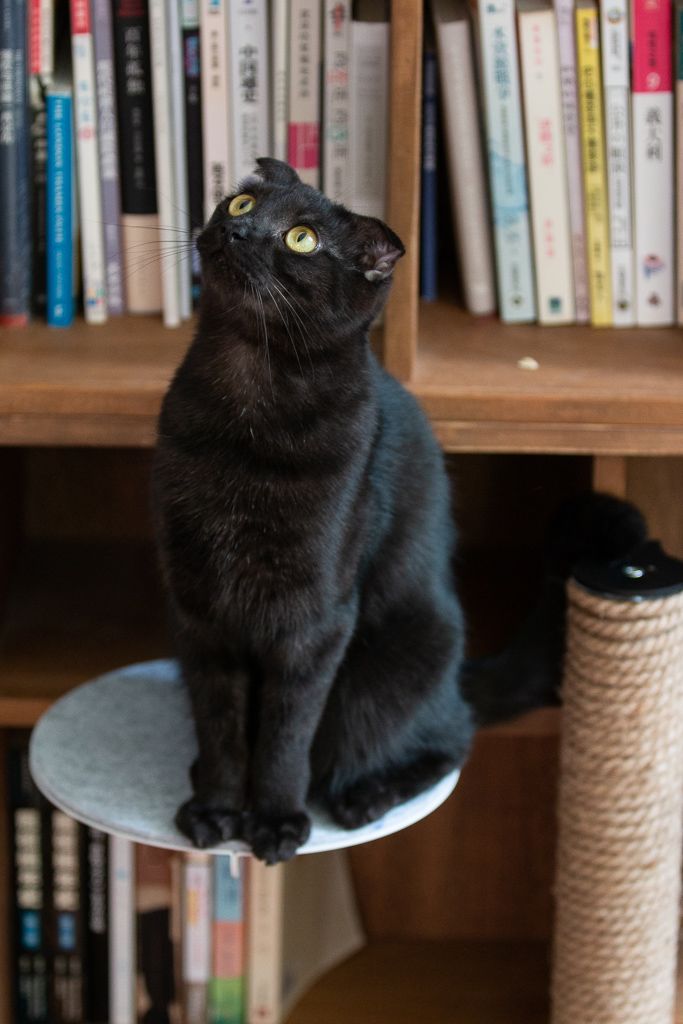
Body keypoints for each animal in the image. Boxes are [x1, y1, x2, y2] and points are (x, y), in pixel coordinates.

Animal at [152, 159, 651, 864]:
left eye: (301, 239)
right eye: (242, 202)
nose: (240, 229)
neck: (246, 403)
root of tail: (455, 676)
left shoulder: (314, 623)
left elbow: (284, 737)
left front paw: (274, 822)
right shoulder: (199, 611)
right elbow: (220, 724)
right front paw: (215, 811)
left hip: (384, 681)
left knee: (445, 738)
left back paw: (364, 798)